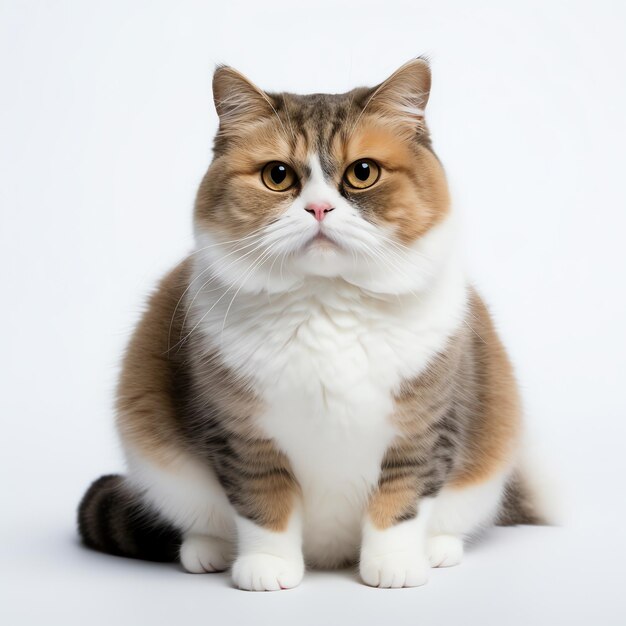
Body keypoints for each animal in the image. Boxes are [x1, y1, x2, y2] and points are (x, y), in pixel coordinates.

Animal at [77, 56, 544, 588]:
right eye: (278, 175)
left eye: (363, 172)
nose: (319, 208)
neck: (326, 305)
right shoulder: (244, 438)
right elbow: (264, 507)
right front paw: (267, 569)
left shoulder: (424, 432)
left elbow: (400, 502)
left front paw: (395, 566)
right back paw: (207, 552)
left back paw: (438, 549)